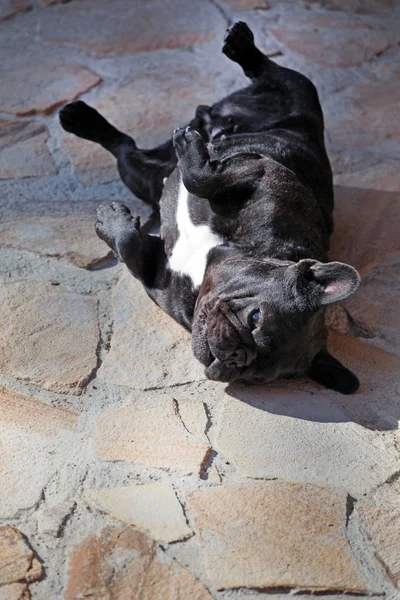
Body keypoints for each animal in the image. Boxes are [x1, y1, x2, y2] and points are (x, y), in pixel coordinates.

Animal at [60, 22, 362, 394]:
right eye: (255, 318)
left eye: (255, 375)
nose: (233, 358)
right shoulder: (261, 170)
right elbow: (200, 177)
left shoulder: (151, 270)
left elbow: (130, 246)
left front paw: (110, 220)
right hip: (302, 97)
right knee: (273, 72)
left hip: (140, 175)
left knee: (125, 147)